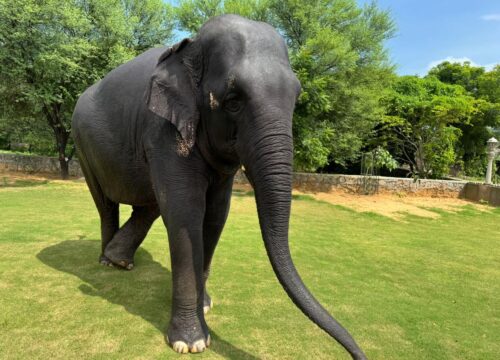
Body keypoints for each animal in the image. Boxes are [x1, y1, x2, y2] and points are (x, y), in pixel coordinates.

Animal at [71, 14, 368, 360]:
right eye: (233, 101)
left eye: (296, 98)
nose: (358, 355)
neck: (190, 46)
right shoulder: (162, 130)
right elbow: (185, 213)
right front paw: (191, 342)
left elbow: (214, 216)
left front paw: (206, 306)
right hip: (82, 144)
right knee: (106, 204)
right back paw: (108, 261)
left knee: (149, 204)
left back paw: (120, 260)